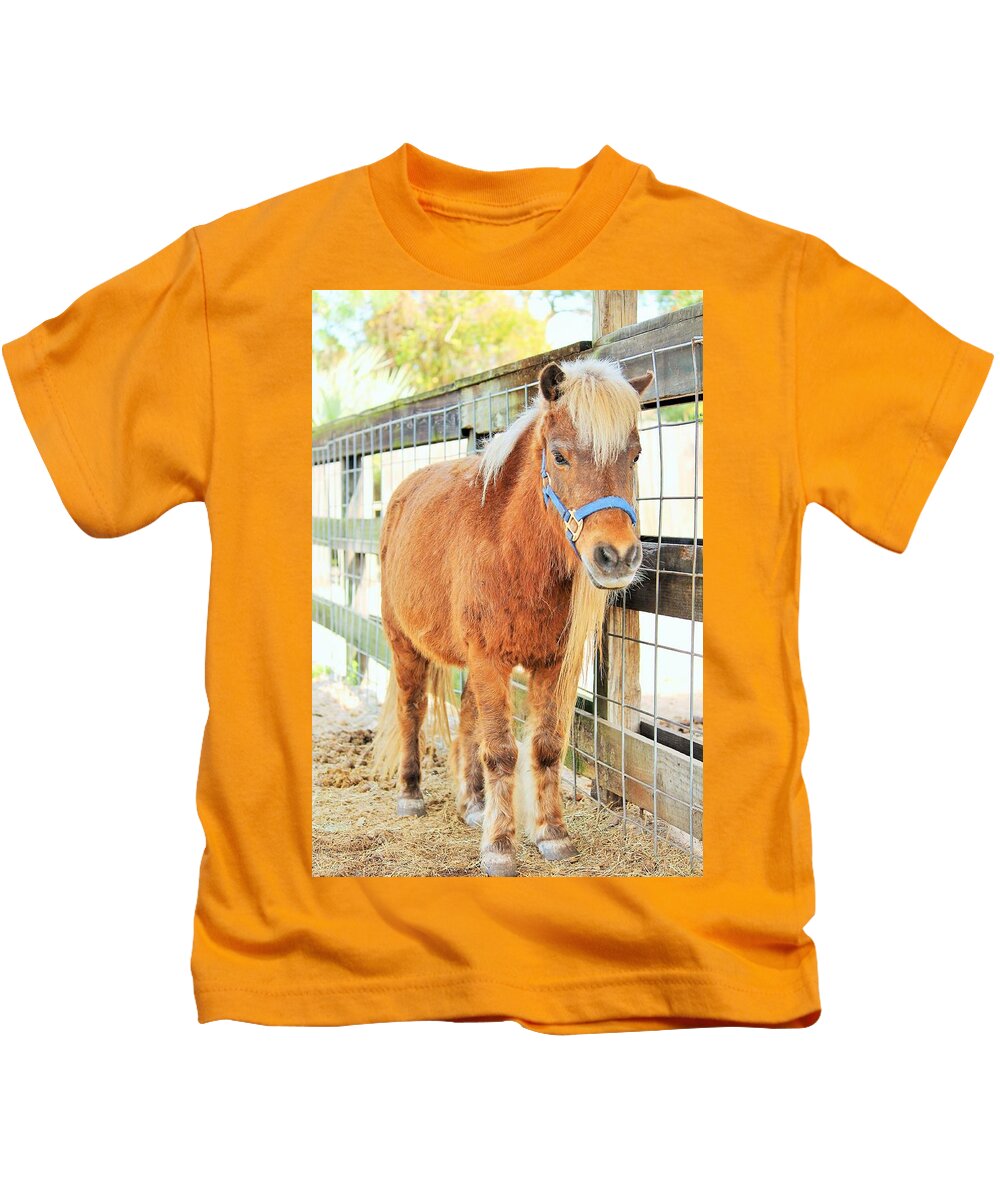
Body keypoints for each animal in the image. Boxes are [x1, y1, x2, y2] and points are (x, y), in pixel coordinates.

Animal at [372, 357, 653, 876]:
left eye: (636, 456)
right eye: (559, 457)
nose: (617, 557)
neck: (513, 551)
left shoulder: (551, 665)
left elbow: (544, 747)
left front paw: (552, 834)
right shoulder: (490, 659)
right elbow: (501, 751)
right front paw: (500, 847)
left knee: (466, 719)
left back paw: (472, 804)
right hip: (404, 643)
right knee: (411, 710)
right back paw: (411, 793)